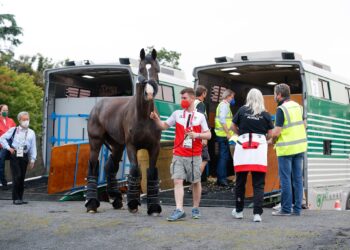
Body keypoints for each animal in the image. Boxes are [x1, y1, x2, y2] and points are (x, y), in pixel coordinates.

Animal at [85, 48, 163, 215]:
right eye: (140, 69)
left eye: (156, 69)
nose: (149, 93)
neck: (143, 116)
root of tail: (98, 106)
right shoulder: (131, 146)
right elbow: (135, 170)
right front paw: (133, 203)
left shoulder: (154, 147)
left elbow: (152, 172)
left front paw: (153, 206)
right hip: (96, 142)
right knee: (93, 166)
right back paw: (92, 204)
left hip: (117, 146)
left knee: (110, 167)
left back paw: (116, 199)